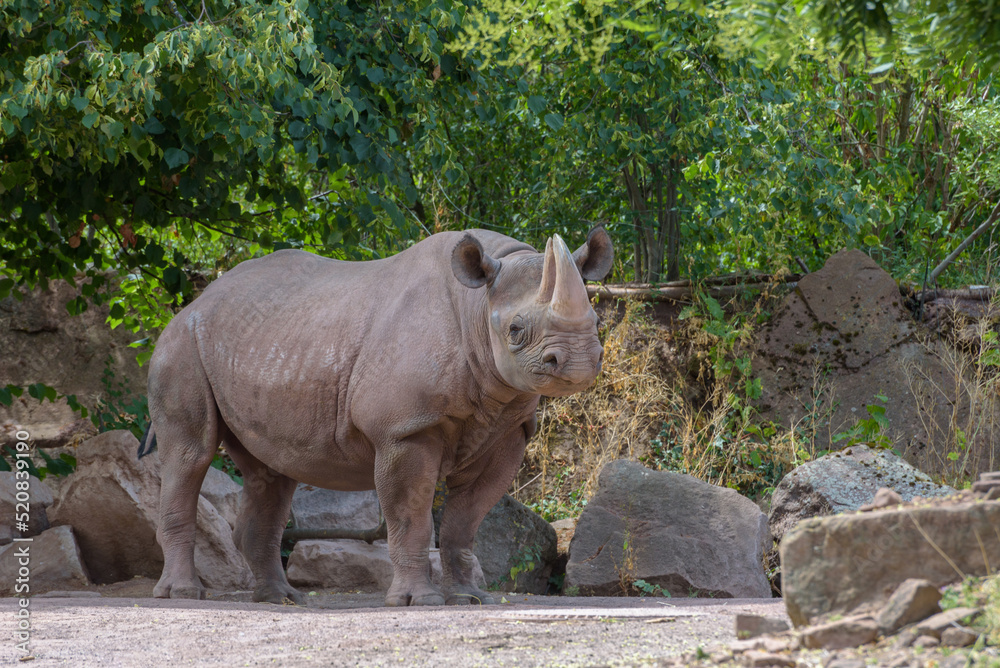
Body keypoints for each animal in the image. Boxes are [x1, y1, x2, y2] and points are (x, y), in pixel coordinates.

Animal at [142, 227, 612, 606]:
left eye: (595, 320)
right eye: (515, 331)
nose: (576, 363)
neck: (477, 308)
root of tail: (194, 301)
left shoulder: (508, 430)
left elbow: (464, 522)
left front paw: (470, 598)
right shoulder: (406, 429)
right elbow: (411, 516)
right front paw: (418, 601)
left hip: (261, 341)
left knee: (271, 472)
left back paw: (281, 599)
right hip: (180, 346)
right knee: (190, 455)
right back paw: (183, 594)